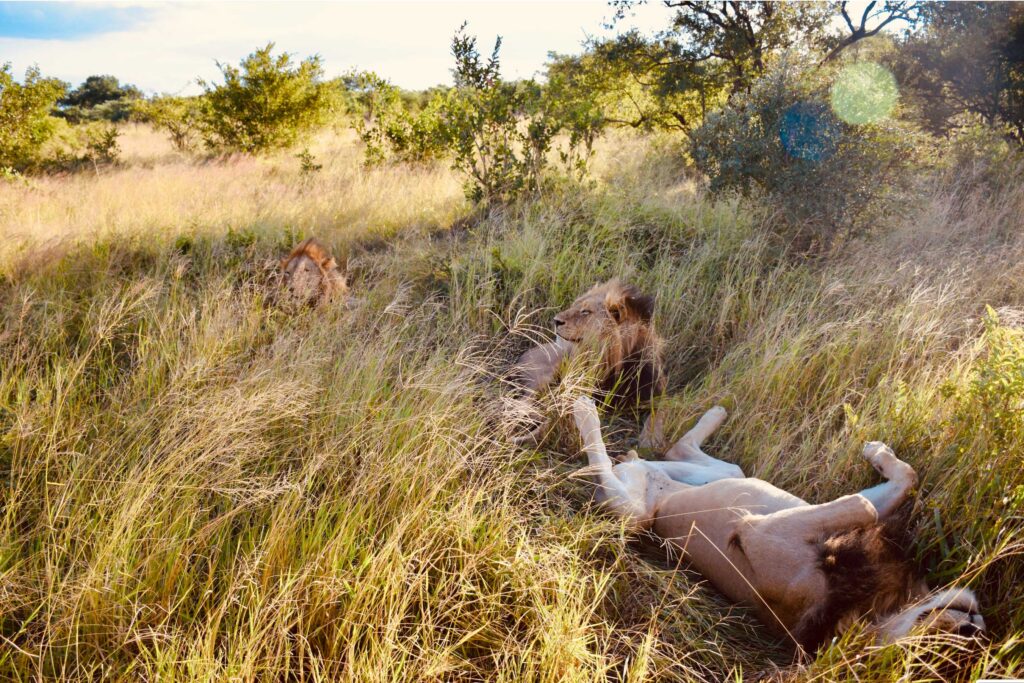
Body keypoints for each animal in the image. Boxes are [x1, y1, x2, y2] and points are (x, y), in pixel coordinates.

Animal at [509, 278, 663, 446]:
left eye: (585, 312)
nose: (556, 321)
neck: (618, 362)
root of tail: (522, 356)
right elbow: (555, 419)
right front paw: (525, 437)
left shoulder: (657, 395)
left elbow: (658, 414)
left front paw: (650, 440)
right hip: (544, 375)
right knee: (522, 402)